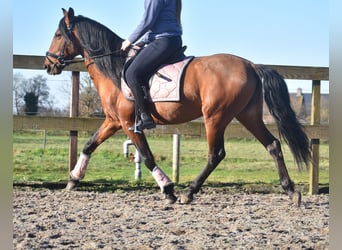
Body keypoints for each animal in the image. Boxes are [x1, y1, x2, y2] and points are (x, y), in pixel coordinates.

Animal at [43, 7, 310, 206]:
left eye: (57, 35)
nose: (48, 65)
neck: (114, 68)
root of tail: (251, 66)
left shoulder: (129, 124)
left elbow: (147, 157)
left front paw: (169, 189)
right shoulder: (113, 121)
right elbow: (89, 145)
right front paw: (73, 179)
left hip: (215, 117)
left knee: (216, 154)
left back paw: (188, 193)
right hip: (248, 115)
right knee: (273, 145)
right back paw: (291, 191)